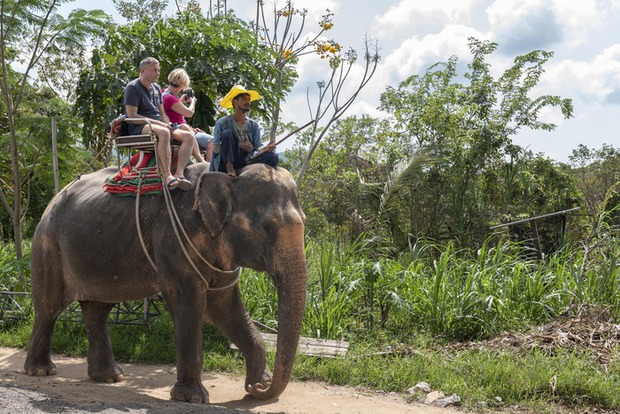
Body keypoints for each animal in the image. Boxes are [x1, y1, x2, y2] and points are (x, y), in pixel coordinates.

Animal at [23, 162, 308, 404]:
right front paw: (191, 398)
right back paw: (41, 372)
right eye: (267, 227)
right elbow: (190, 303)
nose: (257, 390)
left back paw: (110, 377)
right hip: (48, 244)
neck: (227, 175)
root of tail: (54, 198)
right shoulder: (173, 236)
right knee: (49, 307)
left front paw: (258, 385)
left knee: (97, 309)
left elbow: (224, 307)